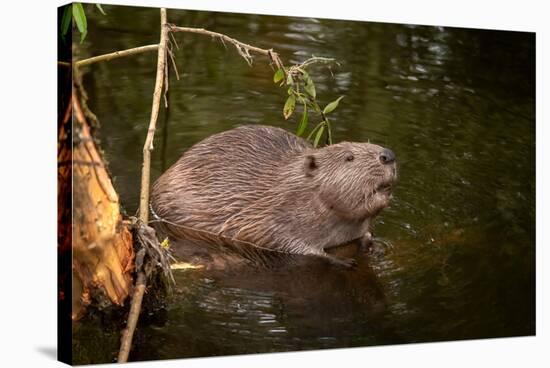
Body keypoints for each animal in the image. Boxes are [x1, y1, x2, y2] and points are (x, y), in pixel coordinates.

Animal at [151, 124, 398, 268]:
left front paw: (373, 245)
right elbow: (283, 243)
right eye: (349, 157)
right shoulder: (268, 216)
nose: (388, 155)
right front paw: (341, 260)